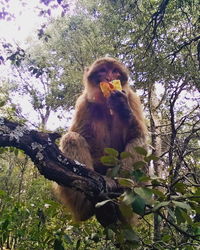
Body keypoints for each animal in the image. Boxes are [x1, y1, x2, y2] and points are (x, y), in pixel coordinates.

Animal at [53, 57, 148, 223]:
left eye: (115, 71)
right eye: (103, 71)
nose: (109, 78)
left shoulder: (132, 97)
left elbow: (137, 135)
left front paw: (122, 107)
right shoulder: (83, 103)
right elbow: (82, 136)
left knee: (139, 142)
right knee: (72, 138)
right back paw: (86, 204)